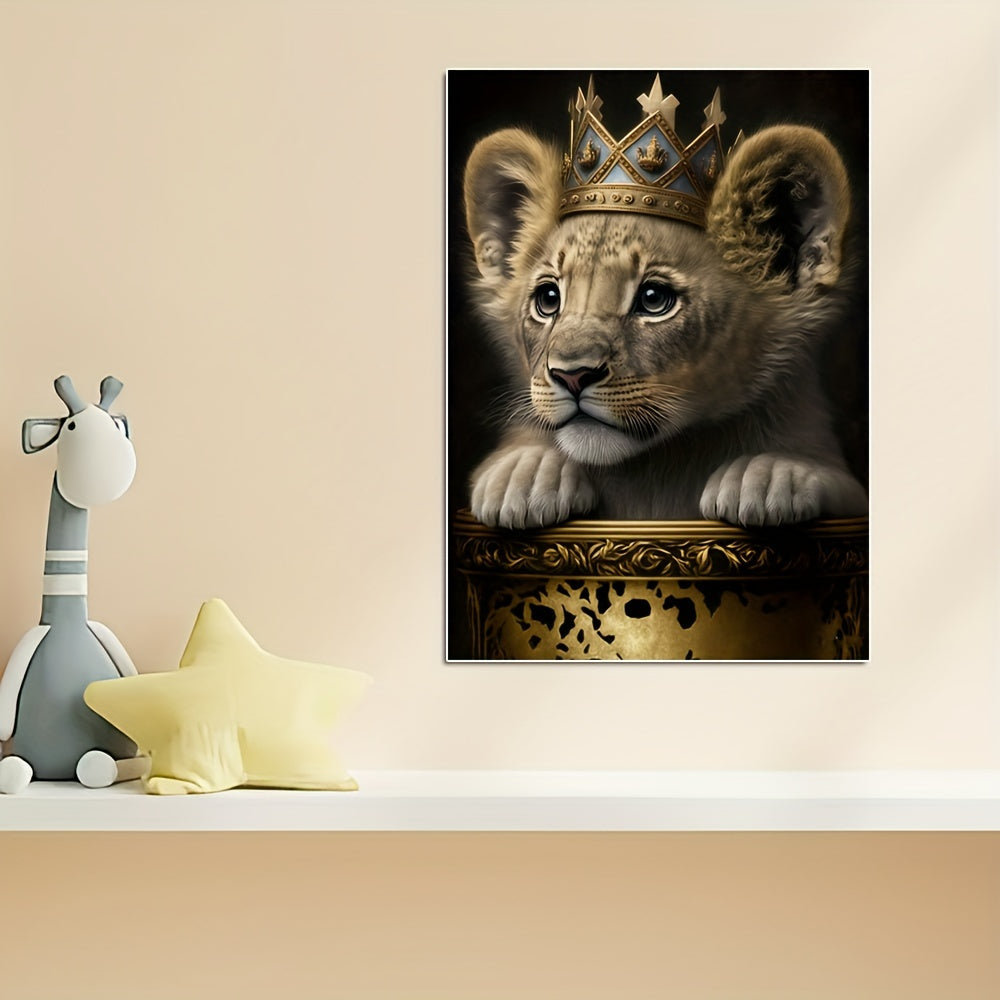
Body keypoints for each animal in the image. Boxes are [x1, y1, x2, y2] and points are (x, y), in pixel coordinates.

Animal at [460, 116, 868, 529]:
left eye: (654, 298)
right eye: (548, 299)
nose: (572, 376)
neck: (656, 470)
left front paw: (769, 475)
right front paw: (524, 475)